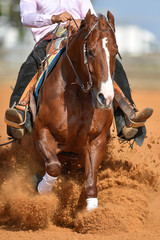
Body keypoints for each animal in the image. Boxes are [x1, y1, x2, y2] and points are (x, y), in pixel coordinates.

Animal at [33, 10, 119, 210]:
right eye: (90, 51)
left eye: (115, 51)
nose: (105, 98)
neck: (78, 96)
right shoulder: (42, 130)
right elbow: (54, 167)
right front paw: (41, 189)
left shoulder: (97, 140)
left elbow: (90, 184)